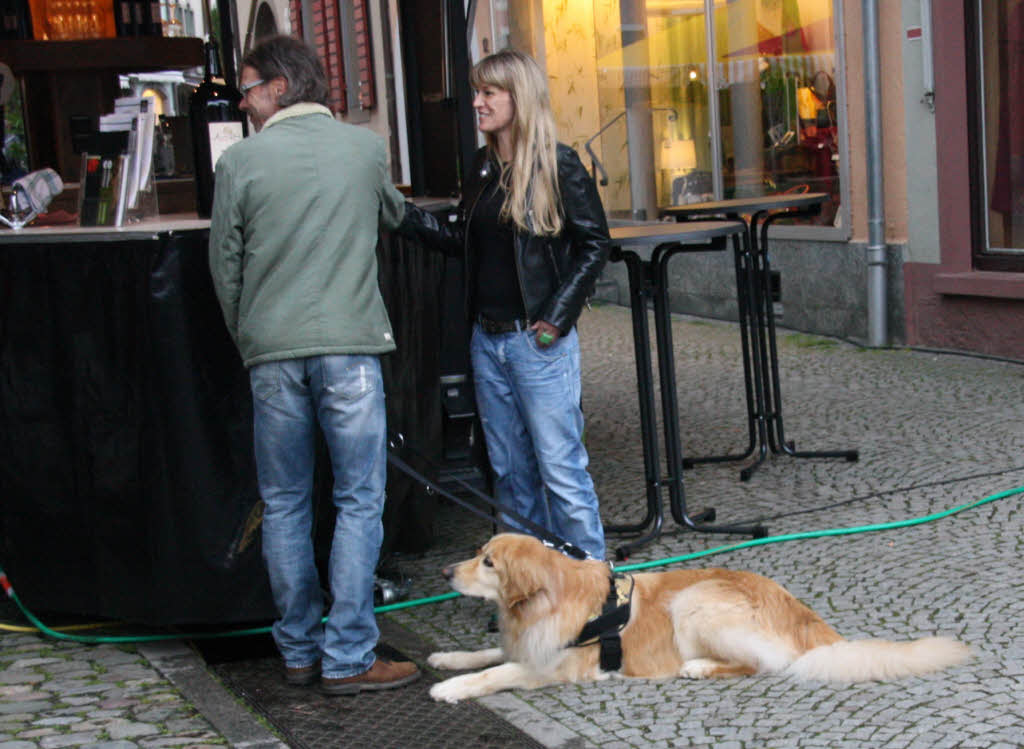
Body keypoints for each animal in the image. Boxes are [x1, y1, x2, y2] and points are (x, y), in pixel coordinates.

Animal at [423, 532, 966, 704]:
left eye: (488, 563)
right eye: (478, 553)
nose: (445, 570)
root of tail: (801, 613)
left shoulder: (553, 665)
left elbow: (496, 672)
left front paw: (450, 688)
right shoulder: (525, 643)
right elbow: (485, 653)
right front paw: (446, 658)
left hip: (694, 601)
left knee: (762, 665)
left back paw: (699, 667)